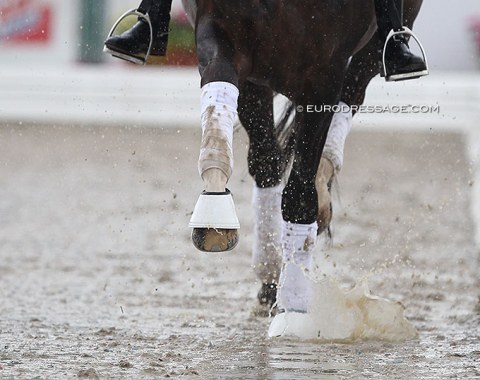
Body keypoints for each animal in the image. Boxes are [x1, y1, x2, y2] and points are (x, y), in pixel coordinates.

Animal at [181, 0, 424, 314]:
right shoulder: (227, 41)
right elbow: (219, 107)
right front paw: (214, 212)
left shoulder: (324, 72)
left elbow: (299, 191)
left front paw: (294, 300)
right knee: (267, 161)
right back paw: (271, 271)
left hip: (373, 48)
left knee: (353, 94)